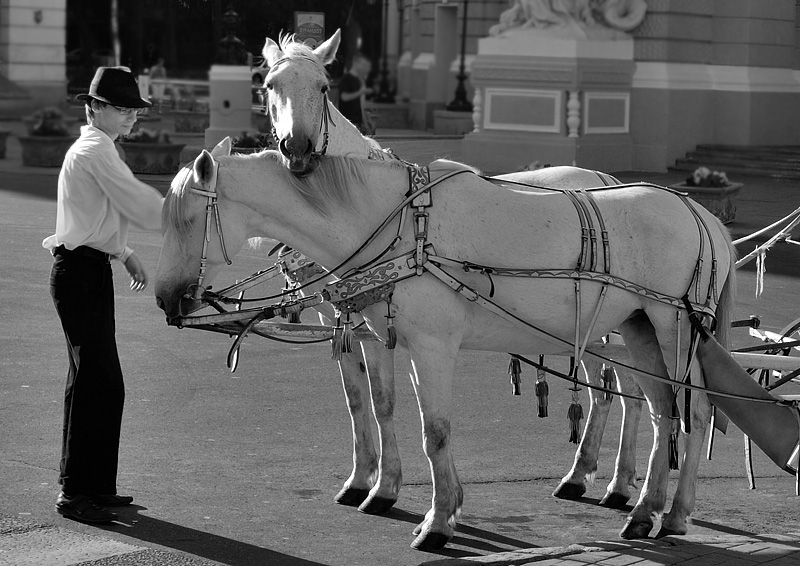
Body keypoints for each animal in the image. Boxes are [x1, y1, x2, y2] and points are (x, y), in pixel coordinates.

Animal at [154, 145, 736, 550]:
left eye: (188, 220)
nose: (164, 298)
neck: (397, 225)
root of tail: (705, 219)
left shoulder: (433, 346)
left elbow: (435, 432)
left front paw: (437, 522)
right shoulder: (388, 338)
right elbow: (381, 408)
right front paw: (384, 490)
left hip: (673, 327)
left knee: (694, 413)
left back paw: (673, 511)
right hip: (636, 328)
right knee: (659, 411)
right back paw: (642, 508)